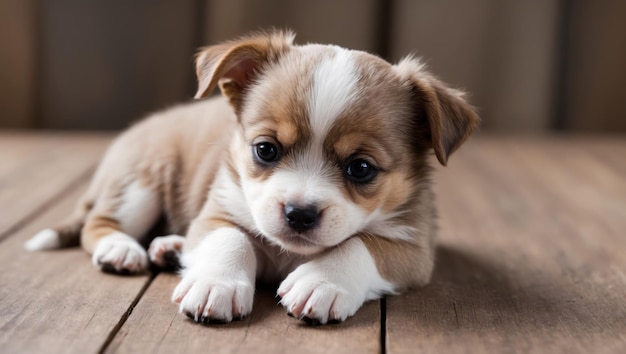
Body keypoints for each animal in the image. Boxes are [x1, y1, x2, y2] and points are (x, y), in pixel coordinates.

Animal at [22, 31, 476, 326]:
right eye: (265, 150)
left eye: (361, 168)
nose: (299, 213)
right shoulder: (217, 211)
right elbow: (232, 238)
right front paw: (216, 283)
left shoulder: (414, 248)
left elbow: (362, 245)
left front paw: (321, 281)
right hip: (140, 185)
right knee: (97, 224)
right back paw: (121, 249)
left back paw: (170, 248)